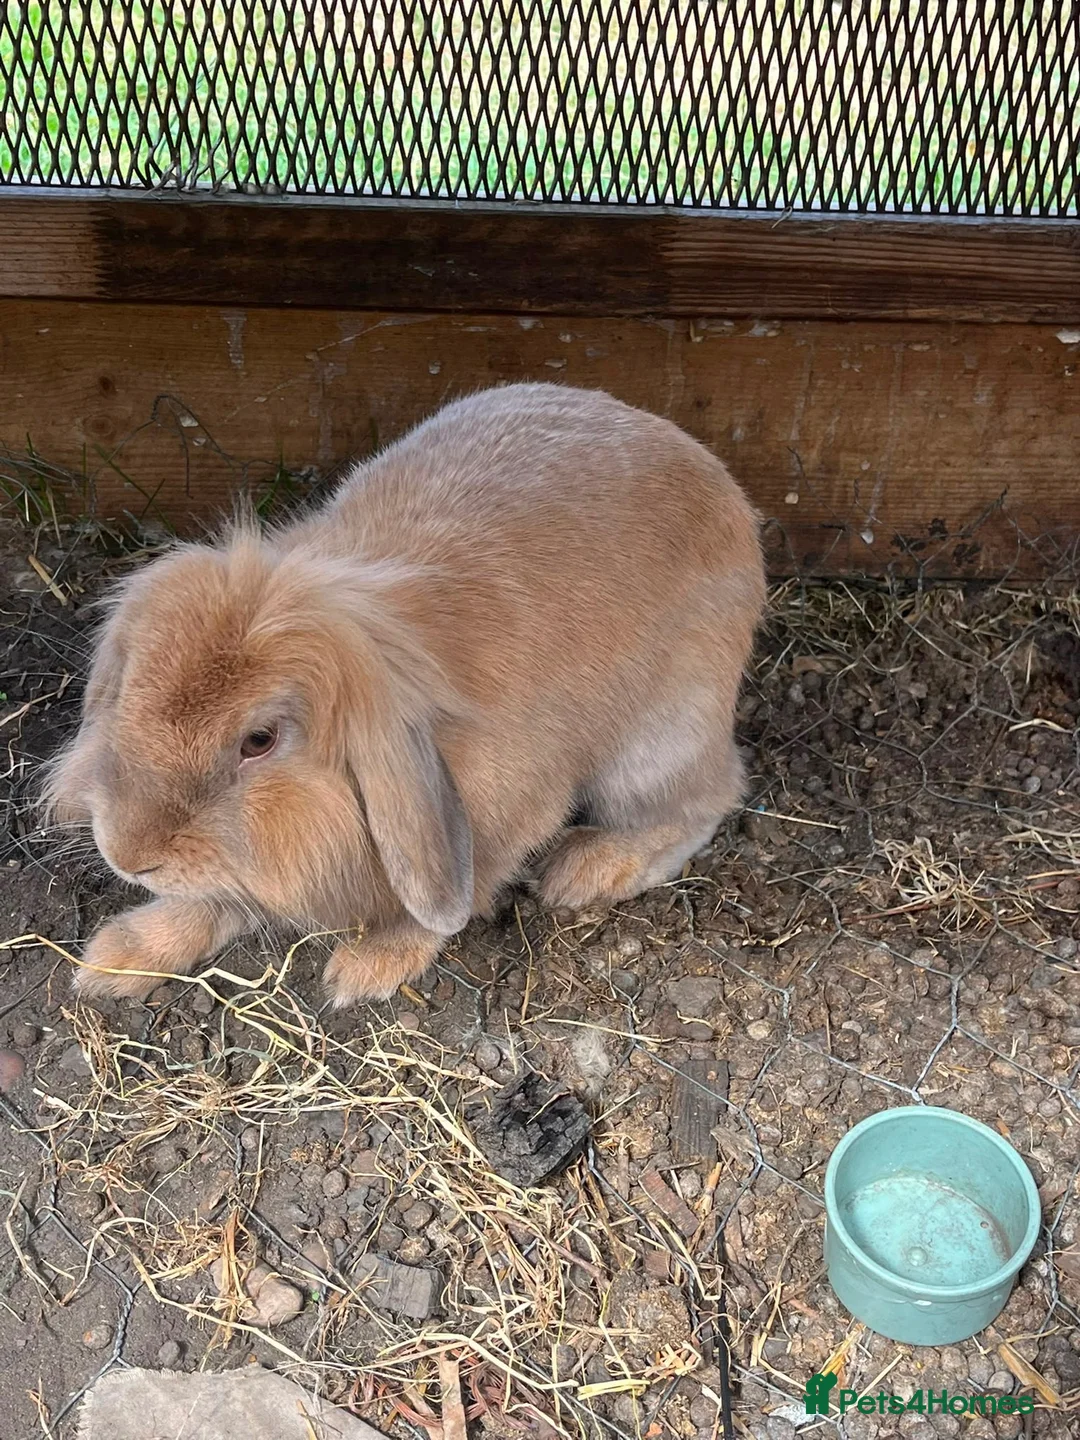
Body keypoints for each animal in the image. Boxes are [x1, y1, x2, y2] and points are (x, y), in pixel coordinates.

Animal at [46, 383, 766, 1006]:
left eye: (259, 740)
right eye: (129, 690)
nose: (128, 856)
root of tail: (716, 479)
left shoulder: (504, 821)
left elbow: (442, 906)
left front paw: (367, 969)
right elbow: (213, 901)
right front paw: (114, 958)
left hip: (660, 741)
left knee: (708, 798)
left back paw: (586, 869)